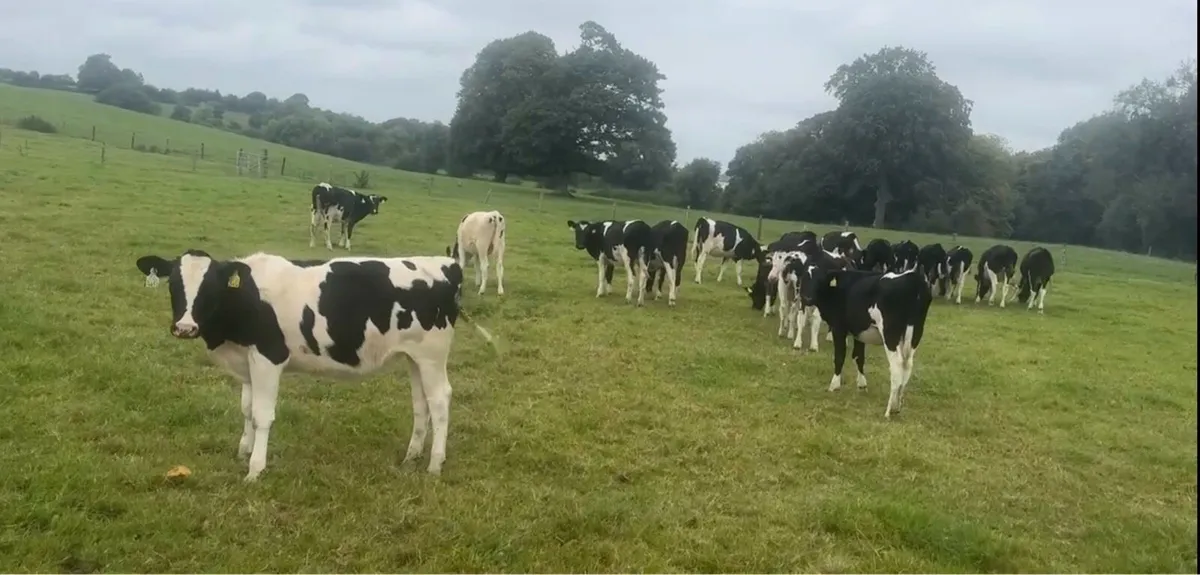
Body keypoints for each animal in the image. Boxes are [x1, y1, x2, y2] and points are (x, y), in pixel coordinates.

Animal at [133, 249, 495, 481]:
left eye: (210, 288)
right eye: (173, 284)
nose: (184, 327)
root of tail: (446, 263)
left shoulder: (268, 357)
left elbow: (262, 415)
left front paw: (255, 468)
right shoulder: (248, 361)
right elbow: (247, 409)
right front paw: (243, 451)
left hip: (433, 356)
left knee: (440, 401)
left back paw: (434, 465)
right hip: (415, 358)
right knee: (422, 404)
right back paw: (412, 456)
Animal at [791, 266, 933, 418]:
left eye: (820, 280)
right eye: (805, 278)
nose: (807, 298)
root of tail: (914, 278)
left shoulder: (838, 328)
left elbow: (839, 357)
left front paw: (834, 385)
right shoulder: (859, 333)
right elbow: (859, 357)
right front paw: (862, 384)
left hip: (890, 335)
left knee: (897, 365)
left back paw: (888, 410)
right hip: (914, 336)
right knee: (907, 365)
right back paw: (897, 406)